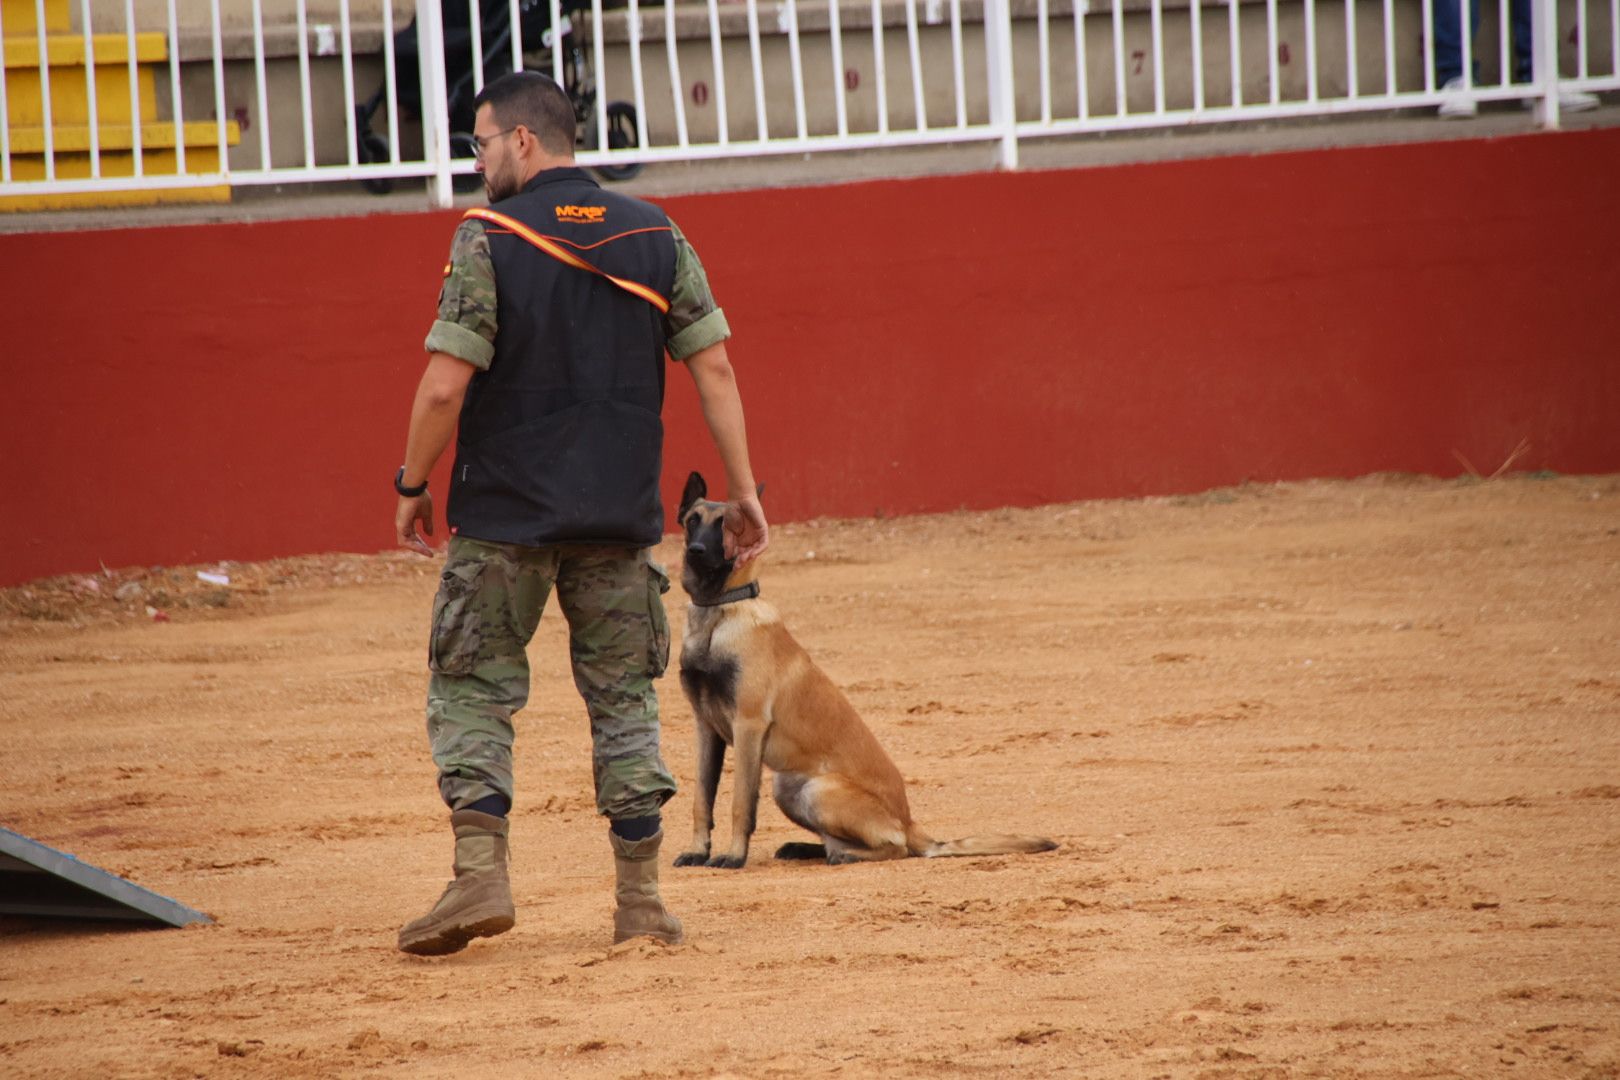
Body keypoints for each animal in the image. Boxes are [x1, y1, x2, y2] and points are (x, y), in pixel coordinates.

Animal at [667, 472, 1056, 867]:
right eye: (693, 520)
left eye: (726, 525)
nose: (695, 550)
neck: (718, 612)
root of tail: (910, 822)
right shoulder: (706, 728)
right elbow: (702, 800)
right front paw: (698, 850)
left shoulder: (748, 726)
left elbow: (739, 803)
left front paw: (733, 856)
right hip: (788, 787)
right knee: (836, 841)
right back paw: (806, 849)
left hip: (816, 789)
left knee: (893, 846)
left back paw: (844, 855)